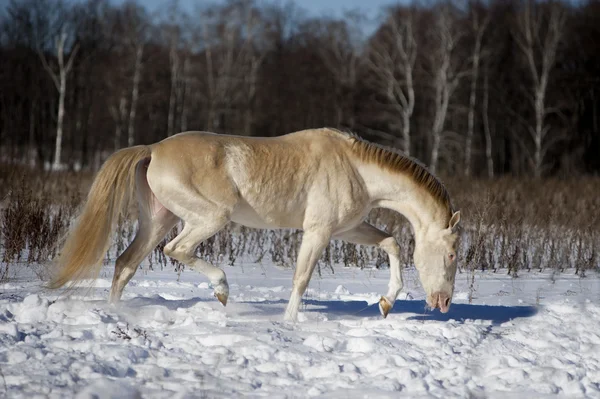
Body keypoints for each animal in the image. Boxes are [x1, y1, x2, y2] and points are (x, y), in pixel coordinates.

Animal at [49, 128, 462, 322]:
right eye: (453, 254)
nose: (443, 303)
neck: (357, 169)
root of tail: (152, 149)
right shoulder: (319, 231)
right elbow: (301, 277)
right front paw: (289, 321)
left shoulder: (346, 230)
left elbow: (391, 243)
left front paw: (386, 303)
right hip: (209, 218)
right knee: (175, 250)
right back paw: (221, 290)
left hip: (159, 220)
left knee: (125, 264)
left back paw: (116, 312)